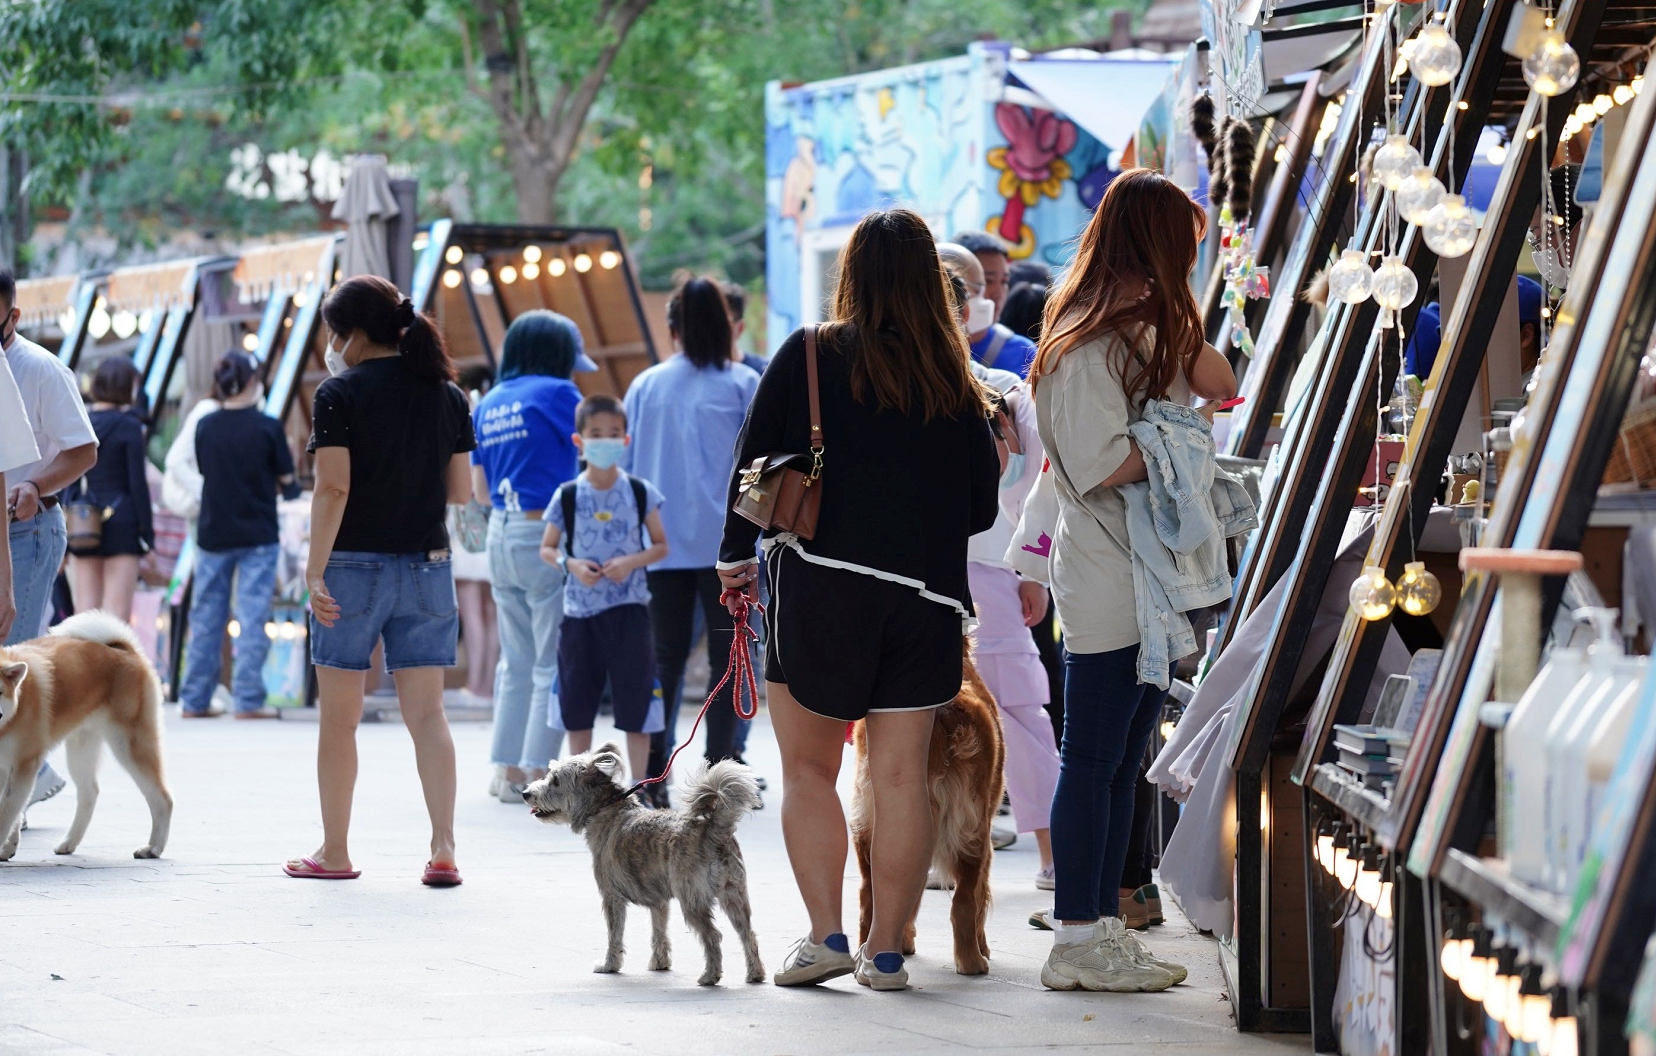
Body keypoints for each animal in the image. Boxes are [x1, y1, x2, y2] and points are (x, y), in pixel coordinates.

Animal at [519, 741, 765, 980]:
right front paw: (660, 963)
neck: (607, 808)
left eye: (556, 781)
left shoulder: (612, 897)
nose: (525, 793)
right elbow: (659, 931)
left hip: (692, 900)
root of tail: (712, 830)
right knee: (748, 933)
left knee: (713, 935)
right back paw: (755, 974)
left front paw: (610, 965)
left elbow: (615, 935)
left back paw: (710, 976)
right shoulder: (659, 902)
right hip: (735, 896)